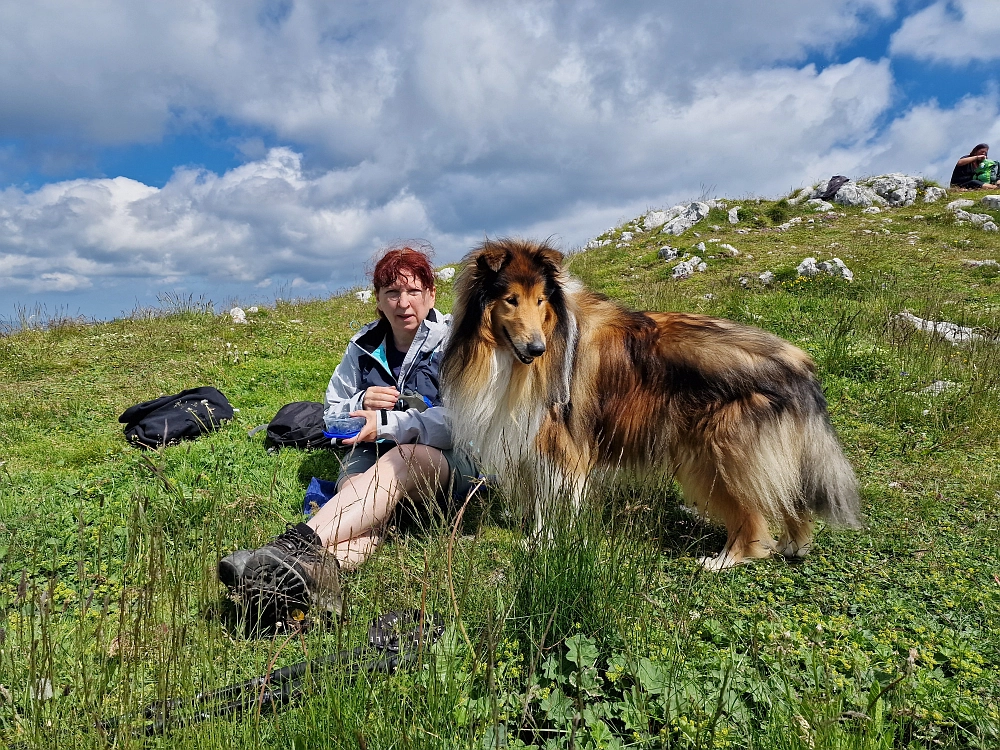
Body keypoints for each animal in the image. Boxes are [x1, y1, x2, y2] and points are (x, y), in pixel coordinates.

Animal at [442, 239, 864, 568]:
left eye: (541, 300)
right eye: (511, 299)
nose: (536, 349)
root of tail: (798, 362)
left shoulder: (560, 444)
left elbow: (552, 503)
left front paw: (541, 544)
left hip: (720, 456)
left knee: (753, 514)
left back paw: (725, 559)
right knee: (790, 498)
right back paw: (793, 546)